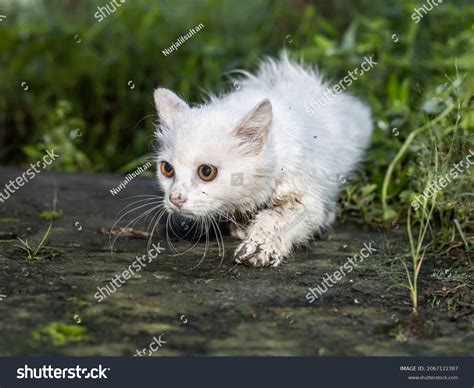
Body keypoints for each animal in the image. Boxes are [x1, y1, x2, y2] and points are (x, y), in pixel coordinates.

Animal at [154, 53, 372, 266]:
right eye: (167, 169)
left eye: (206, 172)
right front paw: (242, 226)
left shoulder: (306, 199)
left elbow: (275, 218)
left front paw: (258, 246)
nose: (175, 198)